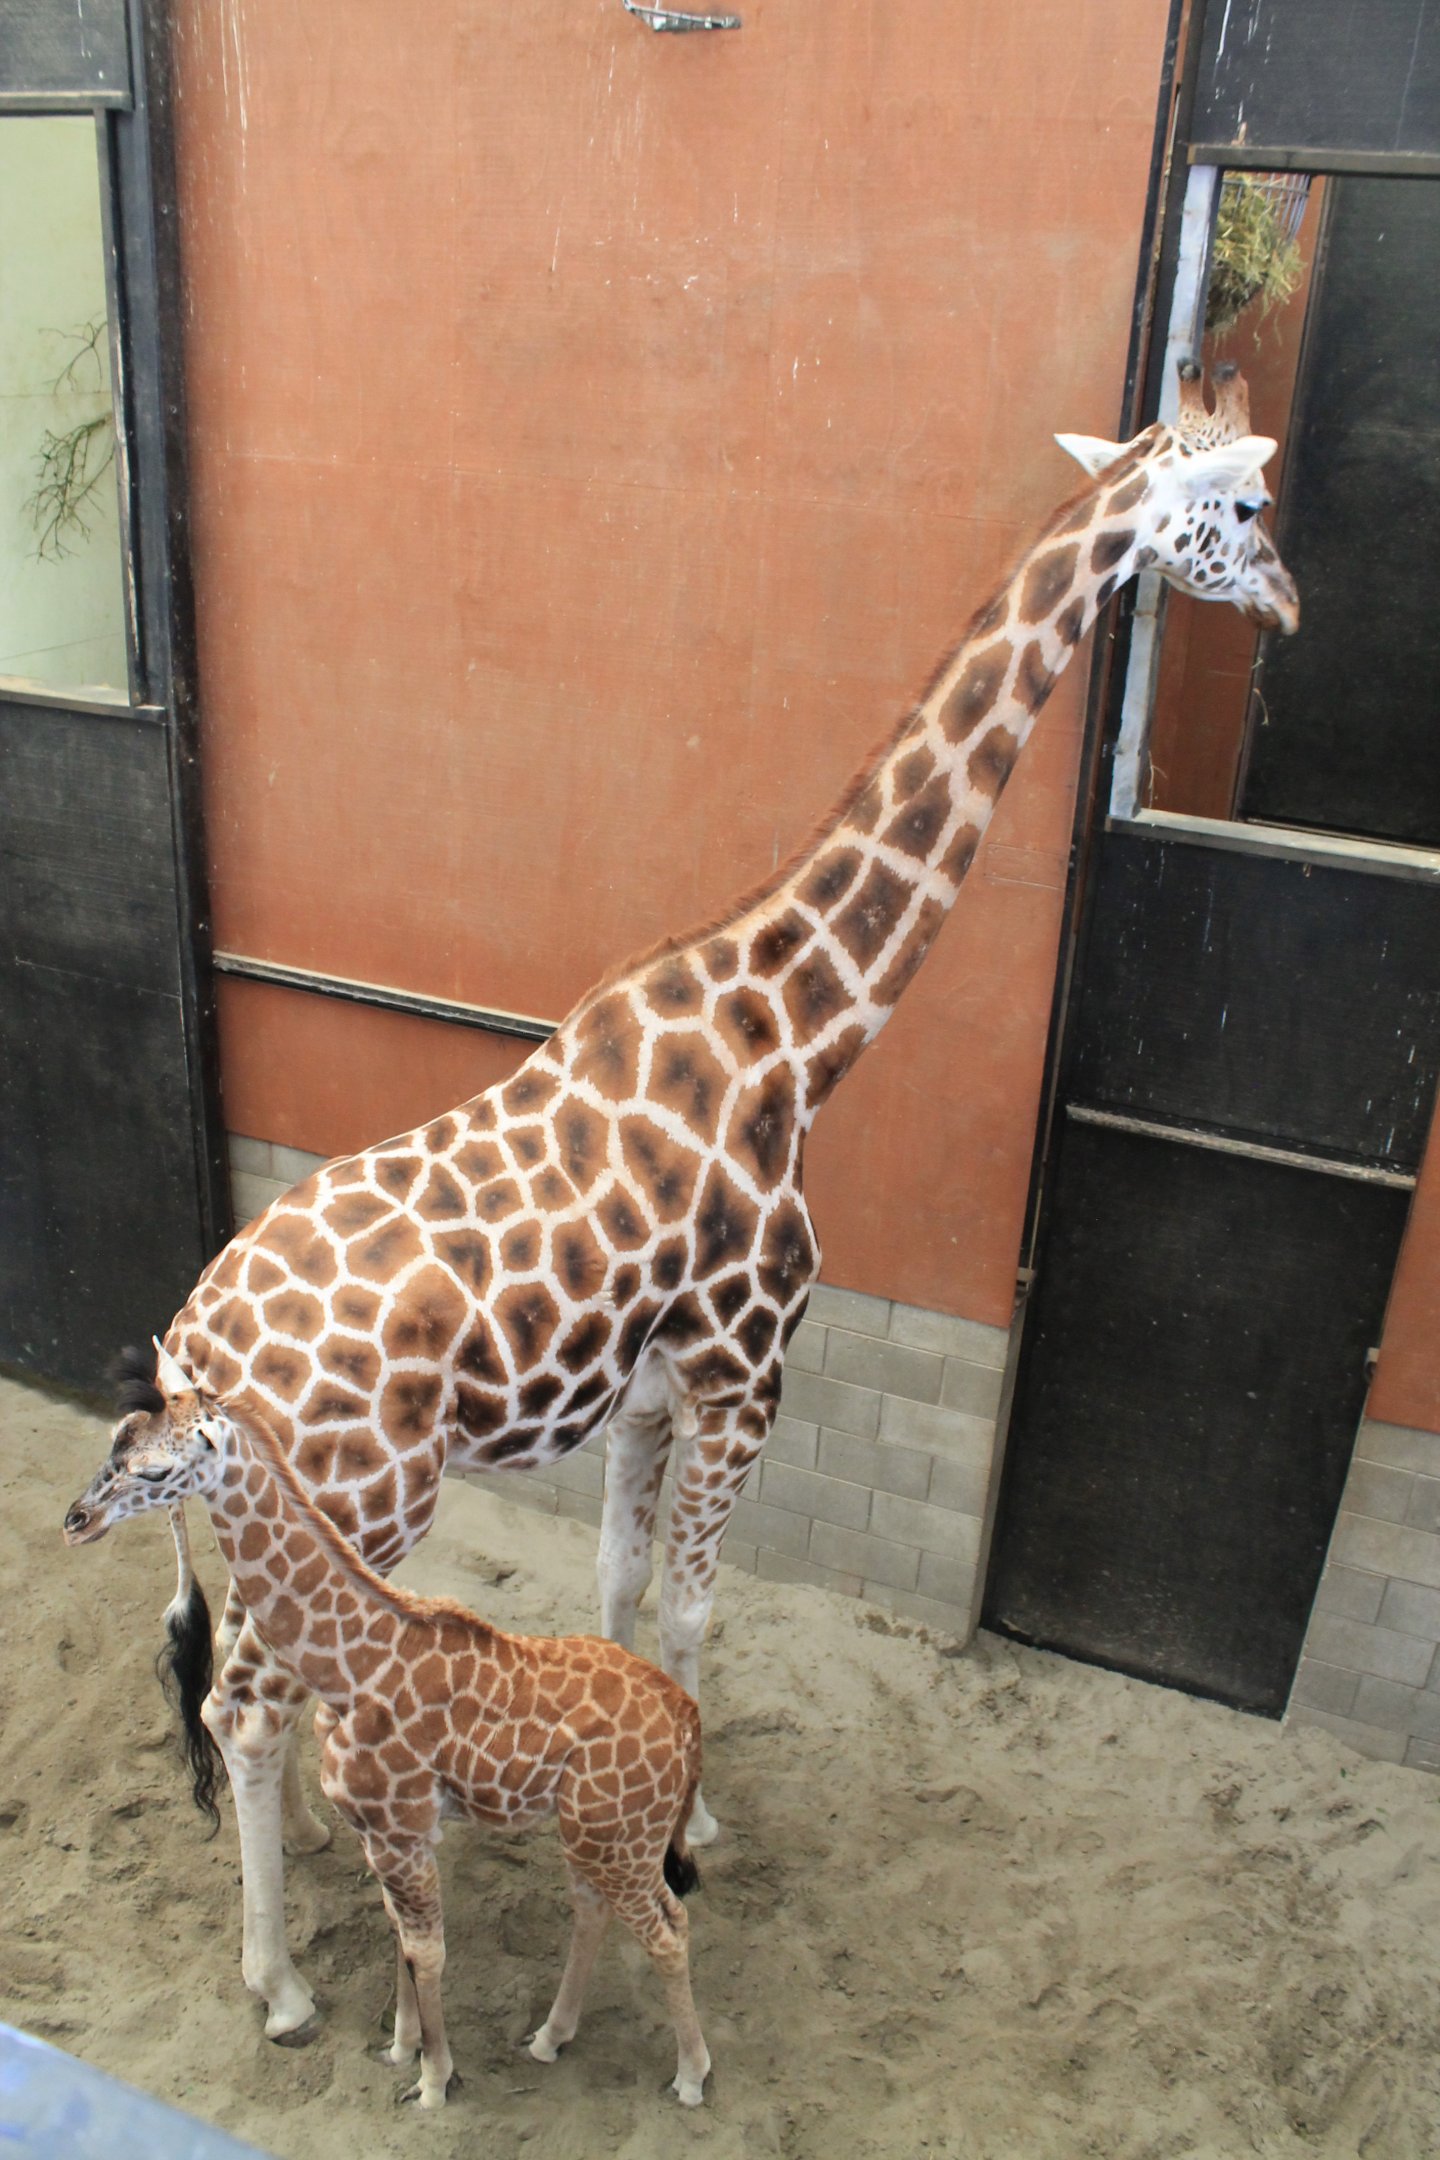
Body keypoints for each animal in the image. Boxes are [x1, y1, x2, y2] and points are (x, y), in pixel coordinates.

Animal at [63, 1342, 711, 2110]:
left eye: (155, 1471)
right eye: (116, 1439)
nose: (75, 1520)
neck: (353, 1664)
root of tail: (689, 1721)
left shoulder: (402, 1828)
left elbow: (426, 1948)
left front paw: (434, 2080)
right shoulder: (385, 1831)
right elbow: (400, 1937)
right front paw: (402, 2049)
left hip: (624, 1839)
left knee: (670, 1928)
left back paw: (691, 2076)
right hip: (594, 1833)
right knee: (595, 1908)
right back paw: (551, 2037)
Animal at [80, 363, 1297, 2039]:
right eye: (1245, 503)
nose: (1294, 604)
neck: (792, 1035)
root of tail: (192, 1340)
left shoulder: (646, 1391)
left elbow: (613, 1577)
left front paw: (632, 1765)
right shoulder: (746, 1372)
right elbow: (696, 1606)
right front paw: (699, 1816)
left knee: (258, 1685)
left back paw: (331, 1840)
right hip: (363, 1490)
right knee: (243, 1707)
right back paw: (277, 1983)